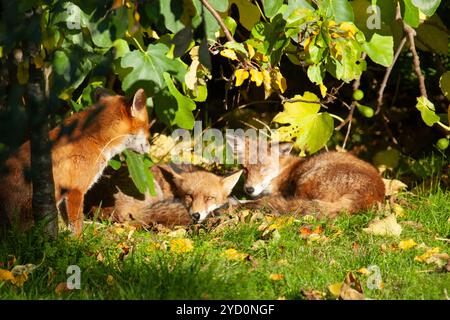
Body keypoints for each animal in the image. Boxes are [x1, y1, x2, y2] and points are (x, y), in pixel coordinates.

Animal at [0, 87, 151, 235]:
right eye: (147, 127)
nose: (149, 147)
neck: (93, 137)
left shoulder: (65, 195)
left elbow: (68, 225)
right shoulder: (76, 190)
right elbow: (77, 225)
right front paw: (79, 242)